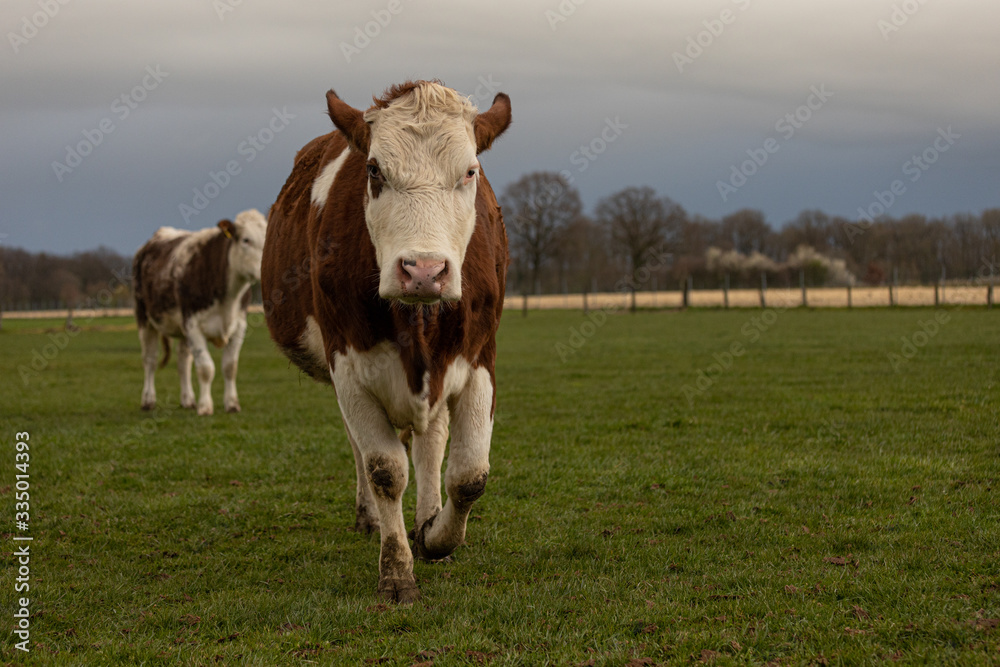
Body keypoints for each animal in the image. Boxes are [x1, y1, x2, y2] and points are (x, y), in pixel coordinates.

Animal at [133, 211, 268, 414]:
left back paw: (188, 400)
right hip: (145, 319)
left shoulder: (239, 326)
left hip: (181, 329)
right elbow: (205, 368)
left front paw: (232, 404)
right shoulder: (193, 324)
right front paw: (205, 407)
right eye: (246, 240)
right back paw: (148, 400)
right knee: (150, 360)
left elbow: (230, 367)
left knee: (183, 361)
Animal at [262, 81, 512, 604]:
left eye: (470, 171)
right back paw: (372, 519)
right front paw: (397, 571)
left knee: (431, 442)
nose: (424, 271)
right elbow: (384, 468)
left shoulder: (480, 360)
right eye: (375, 170)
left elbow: (469, 474)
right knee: (365, 451)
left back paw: (426, 516)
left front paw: (436, 537)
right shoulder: (348, 366)